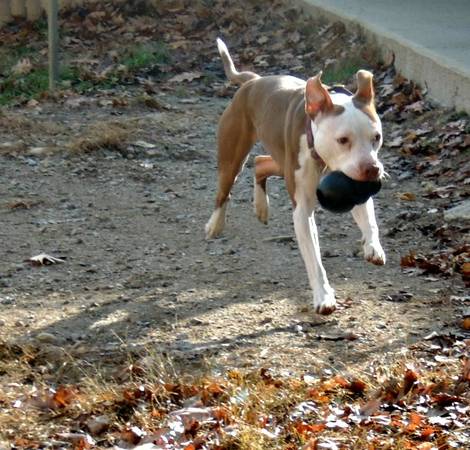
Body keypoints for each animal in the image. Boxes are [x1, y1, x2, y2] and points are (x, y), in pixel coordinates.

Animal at [206, 38, 386, 314]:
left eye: (376, 137)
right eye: (343, 140)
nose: (372, 169)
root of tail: (253, 81)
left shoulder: (354, 185)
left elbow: (370, 221)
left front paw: (373, 247)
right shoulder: (302, 211)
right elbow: (314, 259)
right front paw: (324, 297)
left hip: (281, 162)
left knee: (260, 163)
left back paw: (261, 207)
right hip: (232, 157)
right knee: (224, 191)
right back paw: (215, 225)